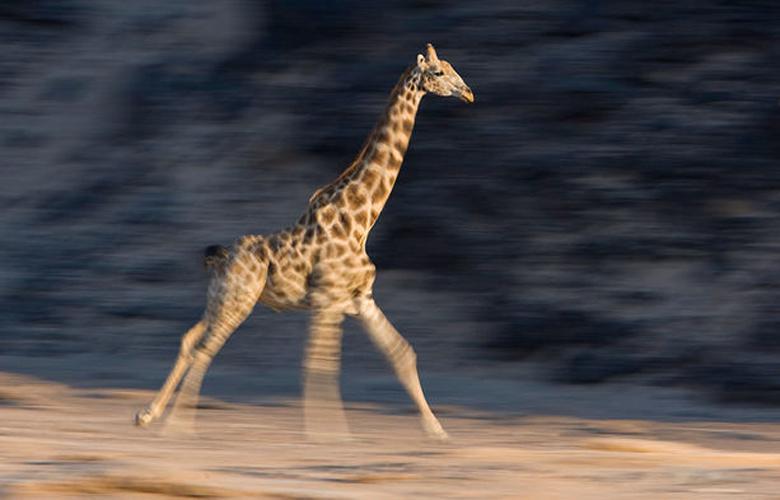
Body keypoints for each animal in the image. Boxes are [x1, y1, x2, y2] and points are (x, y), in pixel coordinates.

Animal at [135, 44, 476, 442]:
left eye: (452, 68)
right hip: (239, 300)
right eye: (438, 73)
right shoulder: (328, 300)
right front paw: (327, 434)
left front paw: (438, 432)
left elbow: (402, 353)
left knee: (190, 340)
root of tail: (219, 257)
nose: (468, 92)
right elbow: (320, 364)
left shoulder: (361, 299)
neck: (361, 220)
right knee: (206, 349)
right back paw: (176, 425)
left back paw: (147, 415)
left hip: (221, 299)